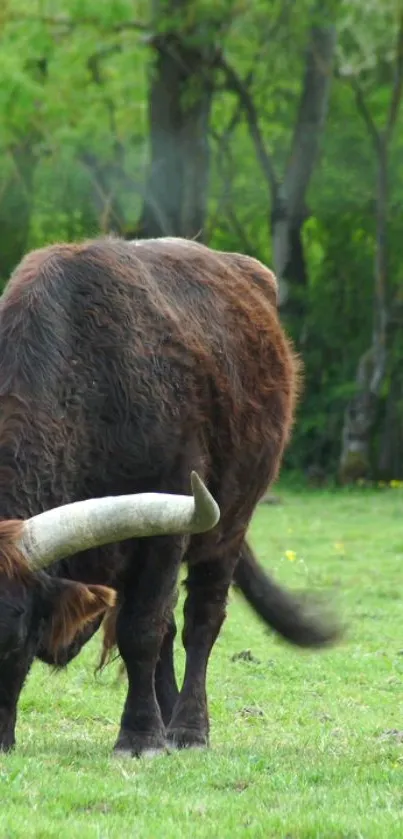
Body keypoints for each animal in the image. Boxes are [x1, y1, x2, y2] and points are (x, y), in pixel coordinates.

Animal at [0, 235, 338, 756]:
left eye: (13, 638)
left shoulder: (165, 529)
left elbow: (142, 630)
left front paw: (141, 736)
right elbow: (148, 630)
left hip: (229, 524)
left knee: (200, 620)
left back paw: (187, 727)